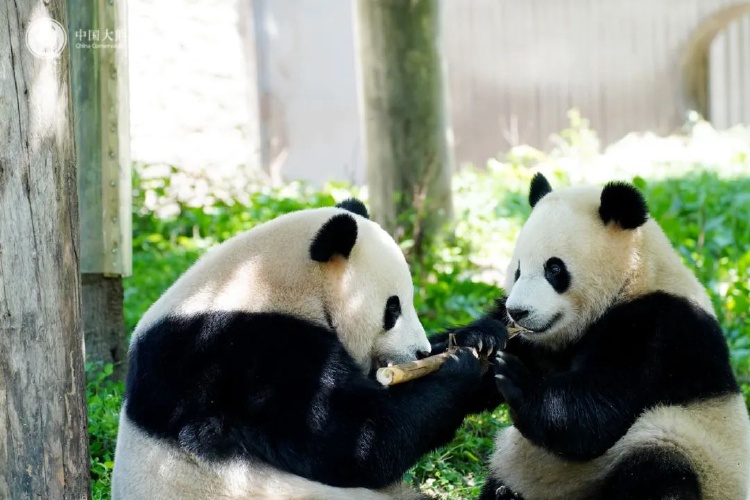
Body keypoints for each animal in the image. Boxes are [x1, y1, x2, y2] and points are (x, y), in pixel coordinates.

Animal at [482, 176, 750, 500]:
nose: (518, 311)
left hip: (694, 455)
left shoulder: (658, 328)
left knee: (660, 467)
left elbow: (595, 416)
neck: (636, 275)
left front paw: (514, 376)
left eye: (554, 268)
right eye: (518, 270)